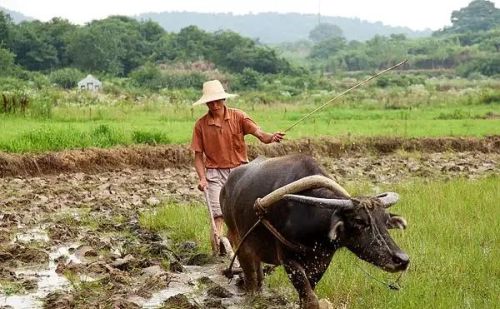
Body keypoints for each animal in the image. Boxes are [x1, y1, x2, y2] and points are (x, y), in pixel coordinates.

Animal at [221, 155, 408, 306]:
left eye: (385, 221)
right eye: (359, 221)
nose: (402, 260)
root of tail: (226, 187)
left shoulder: (321, 260)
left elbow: (308, 293)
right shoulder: (288, 259)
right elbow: (310, 298)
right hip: (238, 239)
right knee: (249, 273)